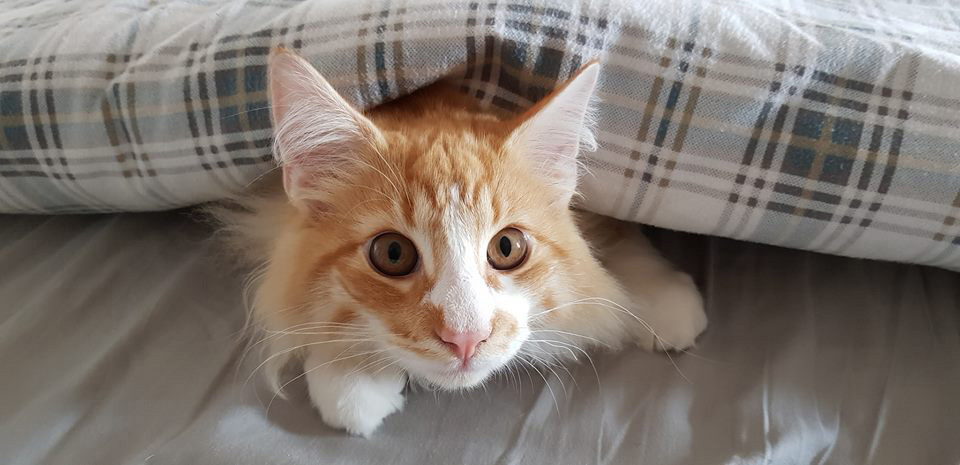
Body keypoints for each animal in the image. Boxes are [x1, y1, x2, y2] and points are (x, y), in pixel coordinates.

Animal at [213, 48, 707, 437]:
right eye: (392, 254)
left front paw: (660, 294)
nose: (466, 338)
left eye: (507, 248)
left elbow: (617, 230)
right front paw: (349, 373)